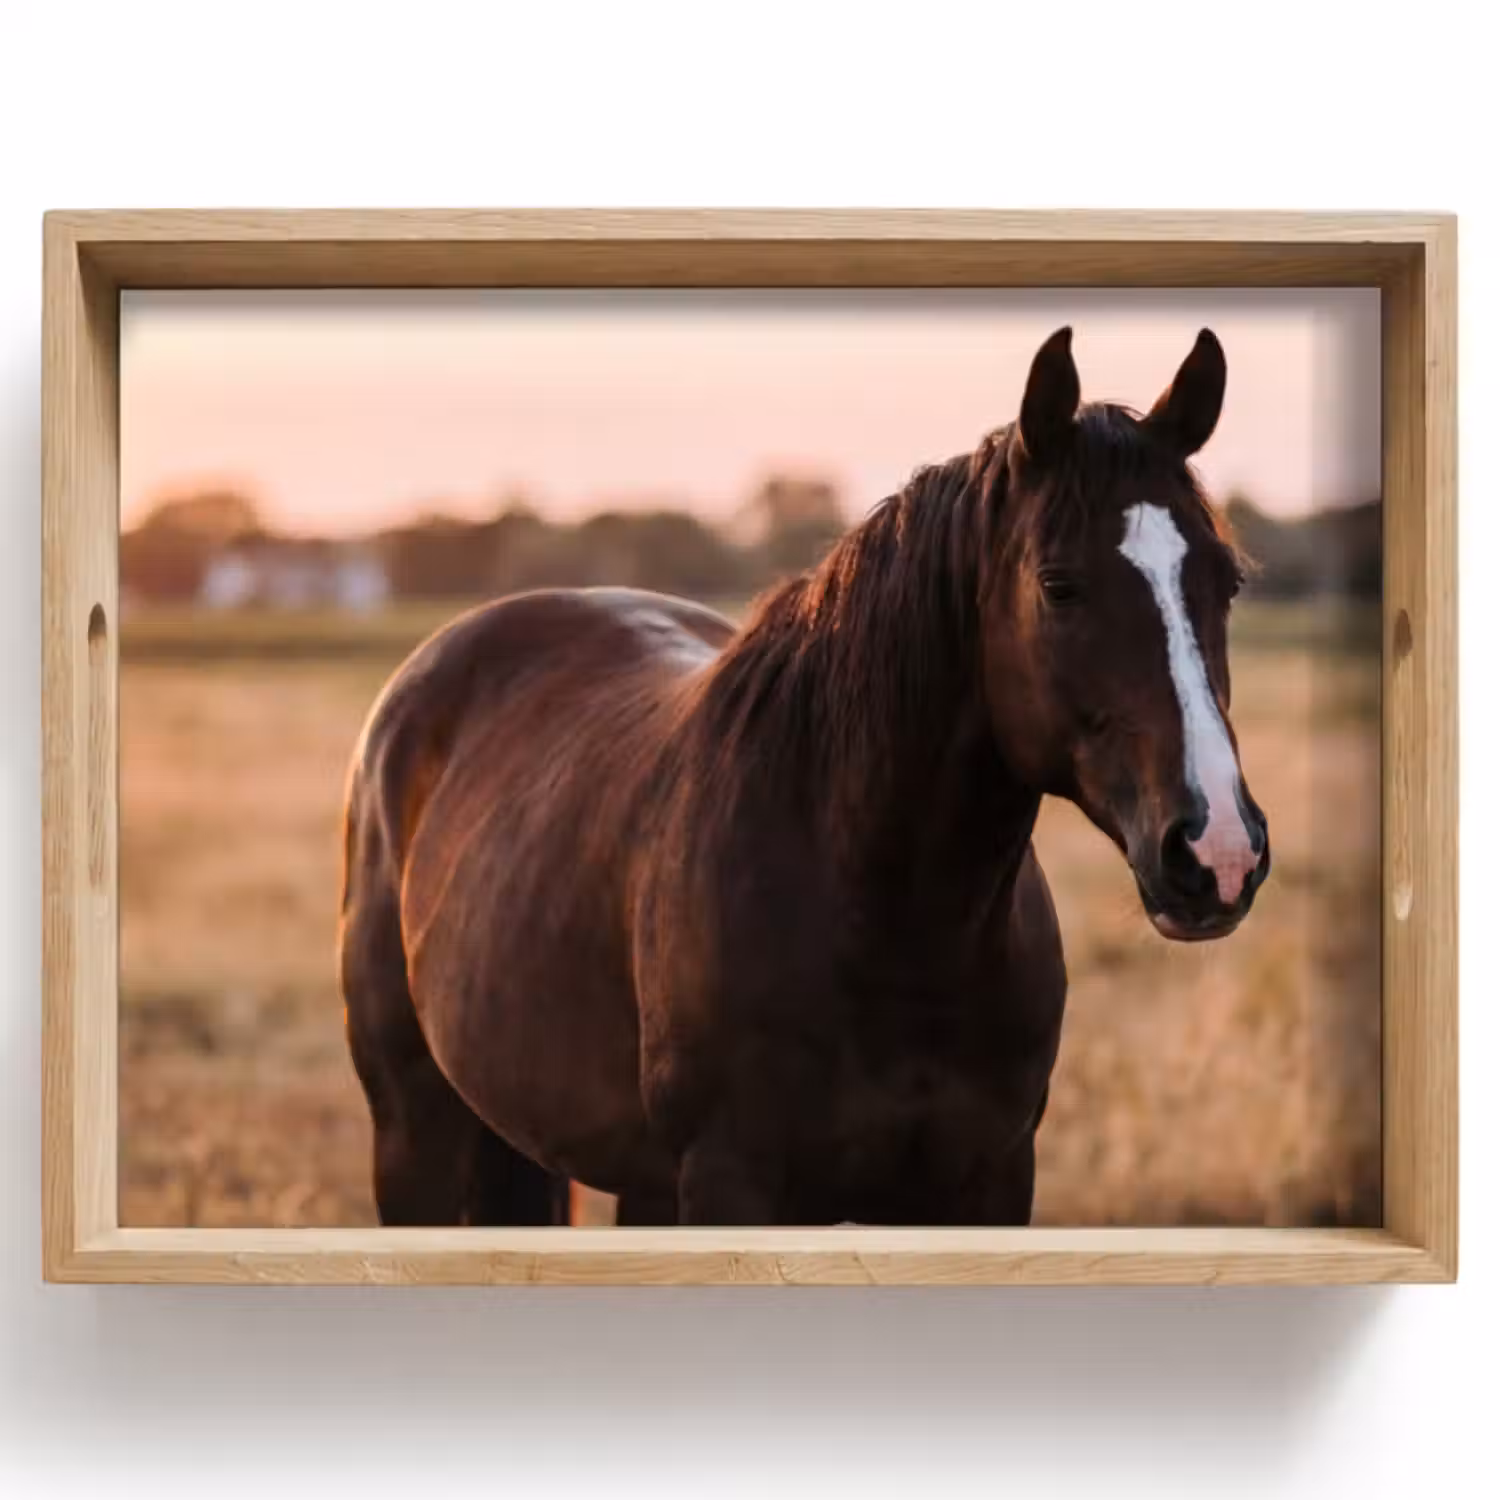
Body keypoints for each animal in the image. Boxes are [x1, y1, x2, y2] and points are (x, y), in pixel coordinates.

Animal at [338, 325, 1271, 1228]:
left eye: (1226, 582)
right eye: (1059, 585)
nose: (1217, 851)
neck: (885, 922)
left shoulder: (989, 1182)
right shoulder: (730, 1184)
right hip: (413, 1135)